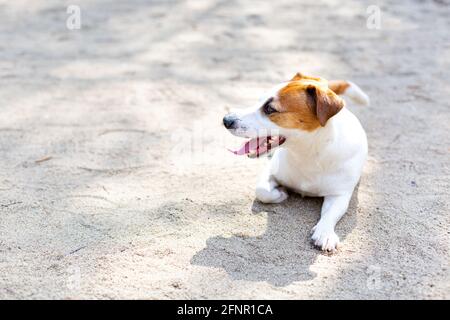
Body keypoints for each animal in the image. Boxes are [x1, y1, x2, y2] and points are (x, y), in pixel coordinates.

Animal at [224, 72, 370, 252]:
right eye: (259, 101)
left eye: (270, 109)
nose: (226, 120)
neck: (307, 153)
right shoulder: (271, 171)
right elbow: (262, 191)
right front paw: (280, 194)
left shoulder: (339, 194)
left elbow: (331, 213)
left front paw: (325, 232)